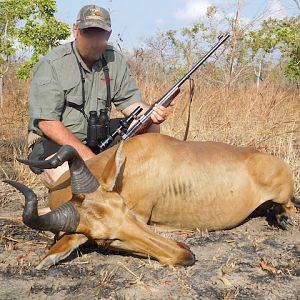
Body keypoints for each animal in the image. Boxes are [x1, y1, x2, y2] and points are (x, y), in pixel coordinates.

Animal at [3, 132, 298, 268]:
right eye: (107, 241)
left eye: (127, 210)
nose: (187, 254)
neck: (131, 161)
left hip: (283, 193)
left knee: (288, 205)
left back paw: (284, 219)